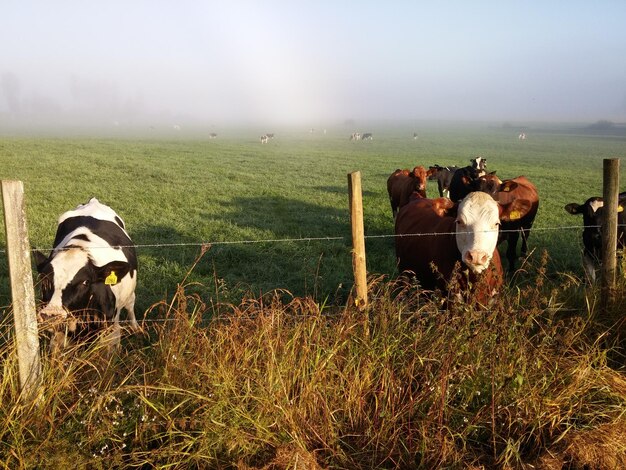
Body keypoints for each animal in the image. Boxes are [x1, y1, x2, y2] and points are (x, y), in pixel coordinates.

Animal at [34, 198, 138, 352]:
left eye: (85, 282)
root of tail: (93, 201)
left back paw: (136, 327)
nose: (51, 315)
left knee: (131, 304)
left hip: (129, 294)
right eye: (44, 279)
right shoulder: (58, 337)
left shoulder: (111, 333)